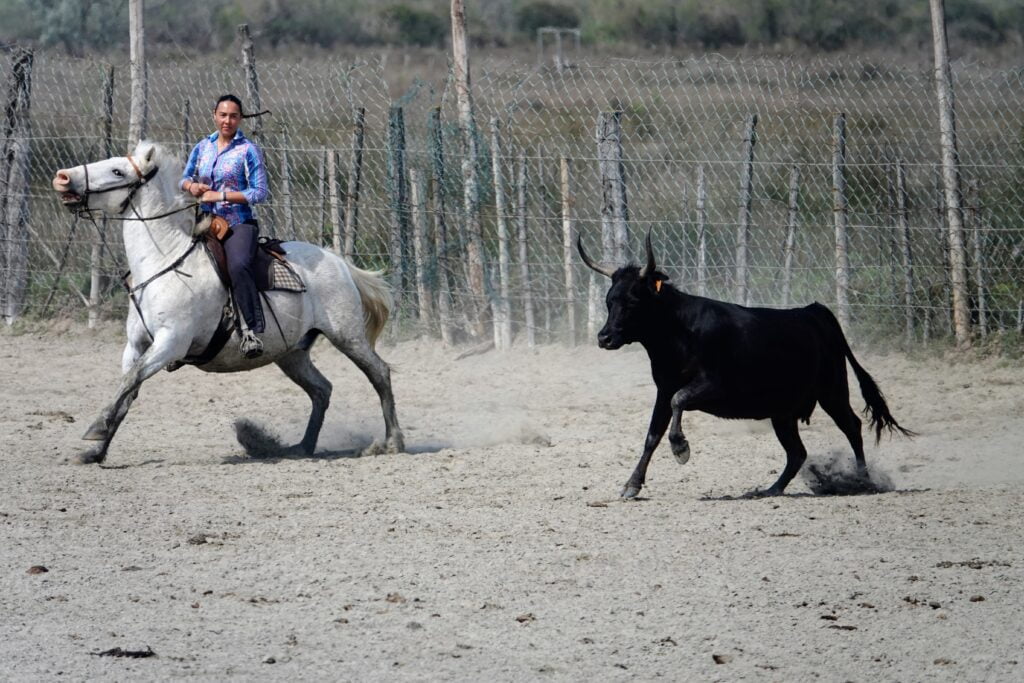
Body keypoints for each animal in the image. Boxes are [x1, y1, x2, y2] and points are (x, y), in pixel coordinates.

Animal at [50, 142, 403, 466]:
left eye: (117, 171)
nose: (63, 177)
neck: (165, 263)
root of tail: (339, 261)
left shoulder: (170, 343)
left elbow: (130, 381)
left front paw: (95, 428)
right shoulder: (136, 345)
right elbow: (127, 389)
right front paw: (96, 450)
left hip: (347, 335)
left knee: (379, 374)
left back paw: (392, 442)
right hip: (291, 353)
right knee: (321, 390)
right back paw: (302, 447)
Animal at [577, 233, 913, 497]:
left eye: (633, 300)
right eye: (609, 299)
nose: (604, 337)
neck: (680, 332)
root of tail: (814, 312)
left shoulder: (714, 386)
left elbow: (679, 402)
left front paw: (681, 448)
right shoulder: (664, 388)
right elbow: (652, 435)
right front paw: (632, 484)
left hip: (832, 391)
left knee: (852, 427)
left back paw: (862, 480)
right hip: (783, 411)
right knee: (798, 452)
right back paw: (771, 489)